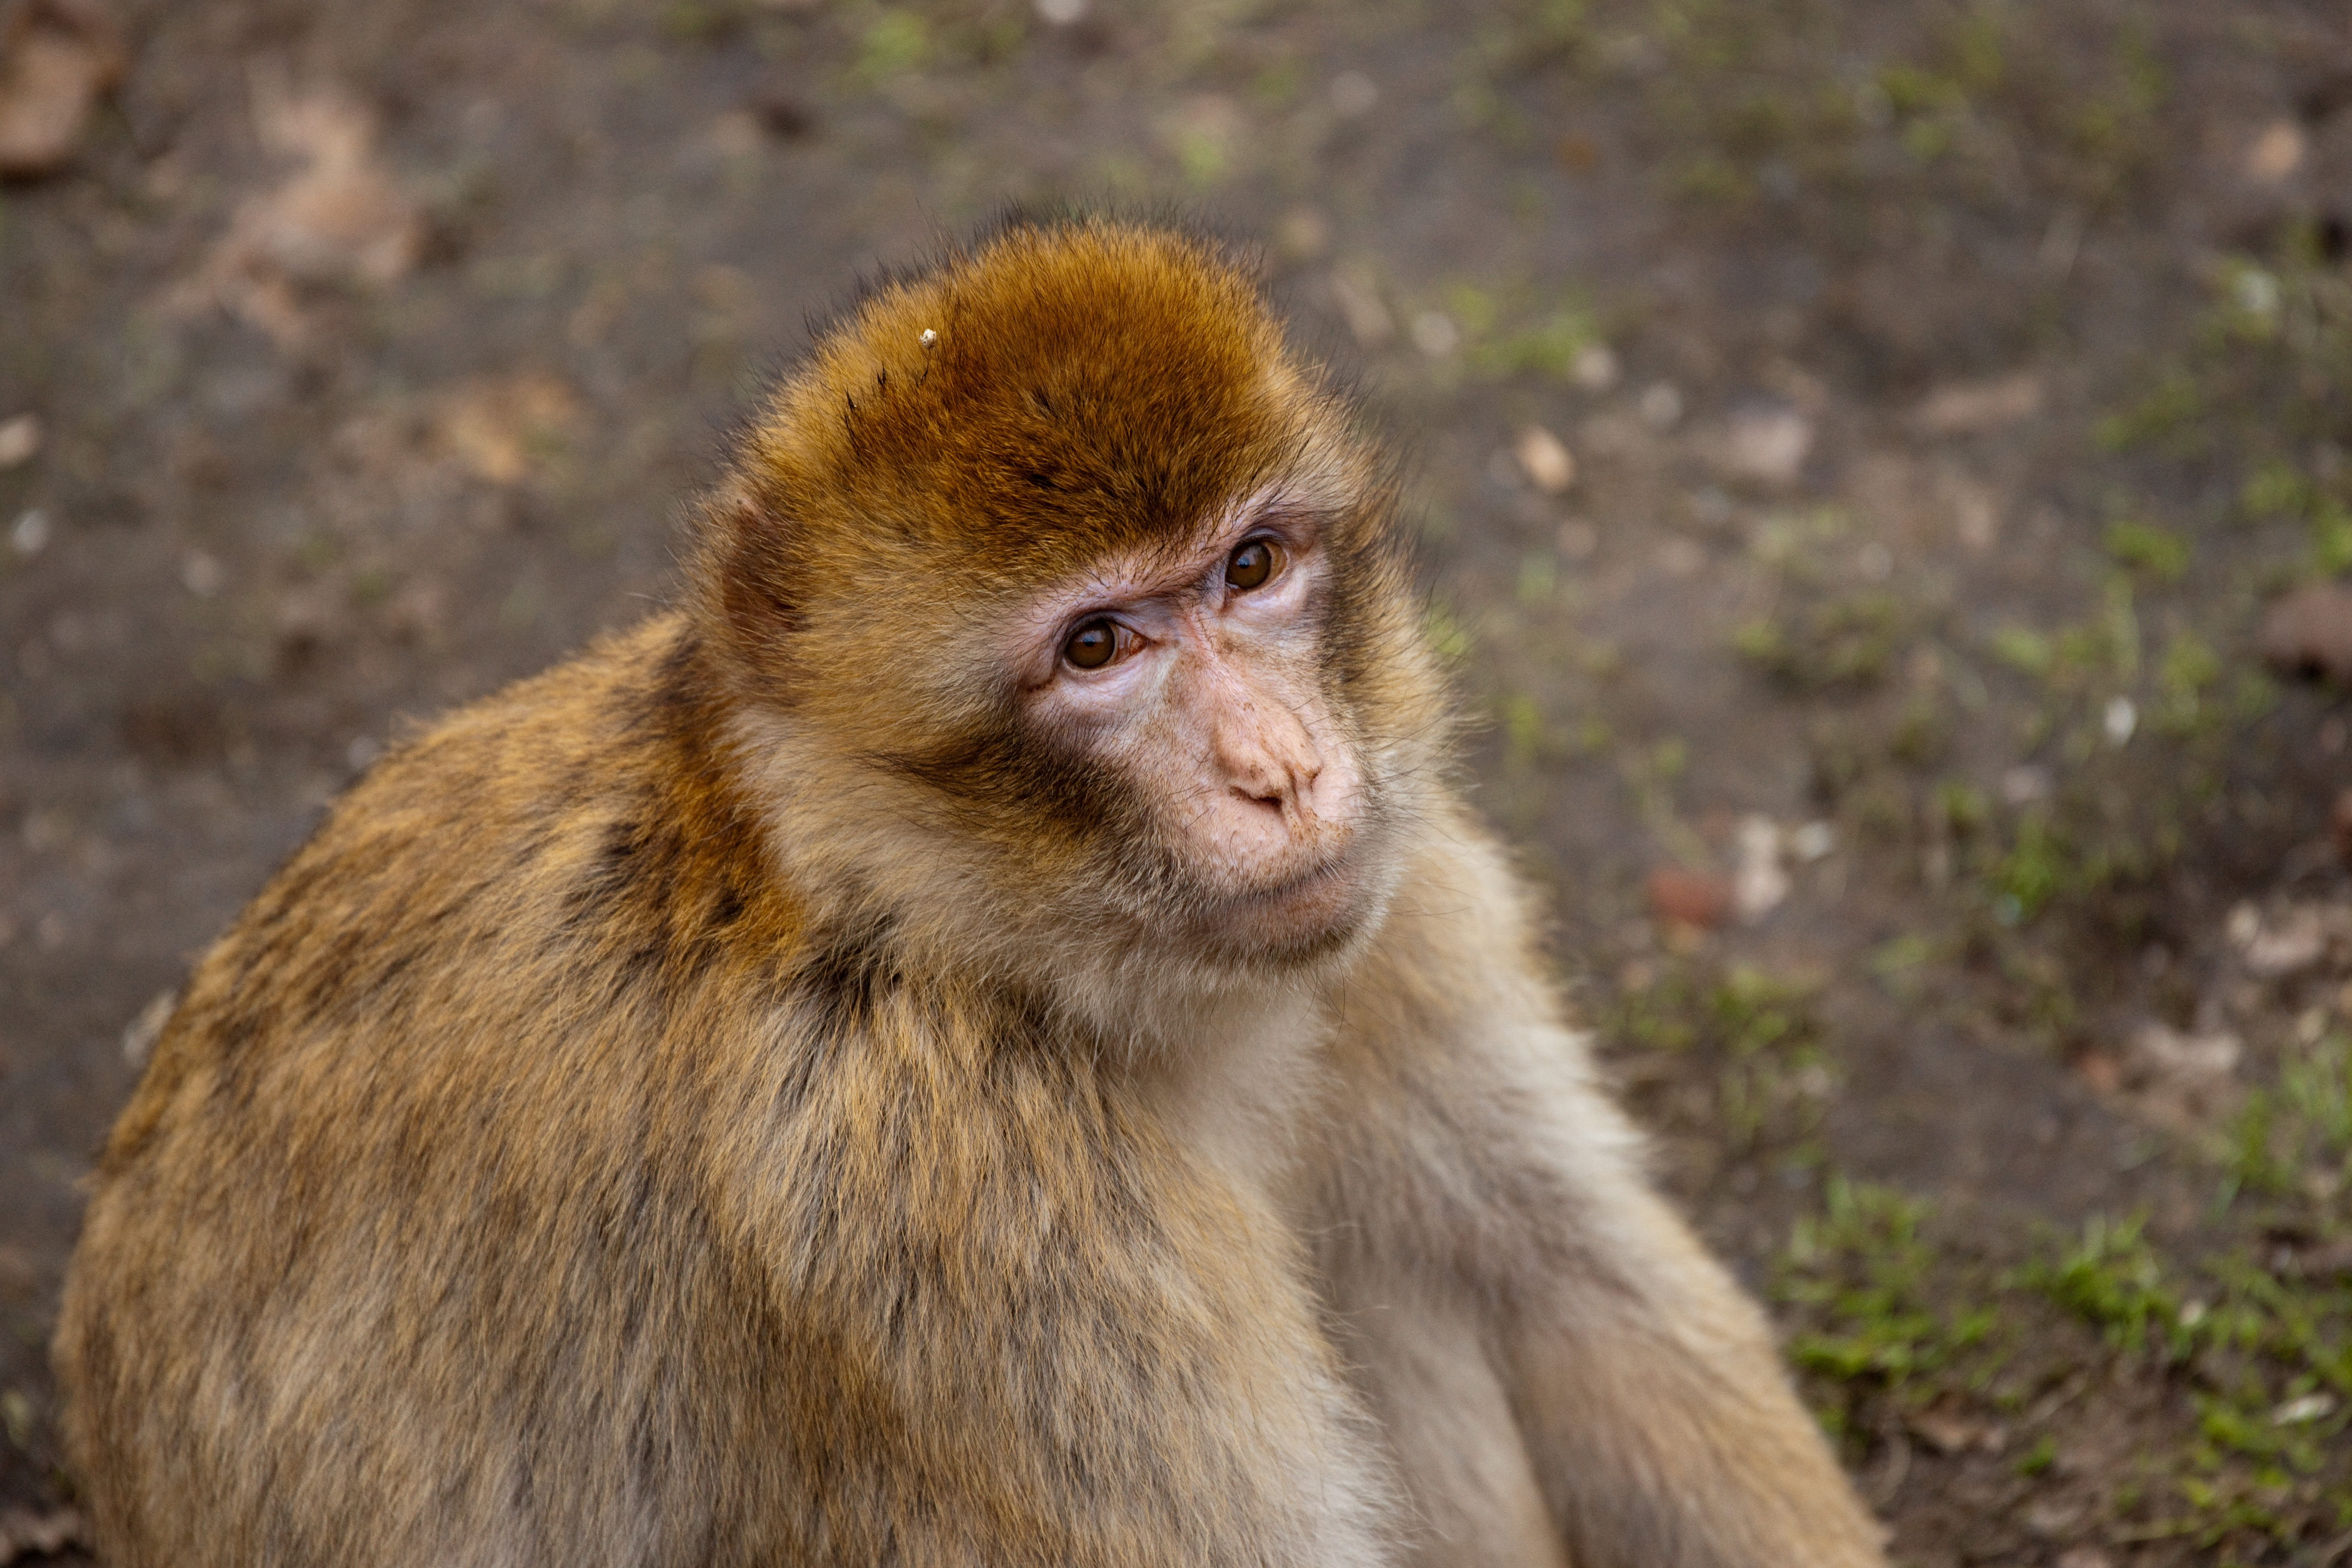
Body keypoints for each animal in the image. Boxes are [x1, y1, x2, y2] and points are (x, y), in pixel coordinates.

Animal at [55, 217, 1888, 1568]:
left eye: (1252, 567)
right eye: (1095, 649)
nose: (1282, 771)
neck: (950, 940)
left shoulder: (1394, 914)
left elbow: (1577, 1285)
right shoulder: (951, 1206)